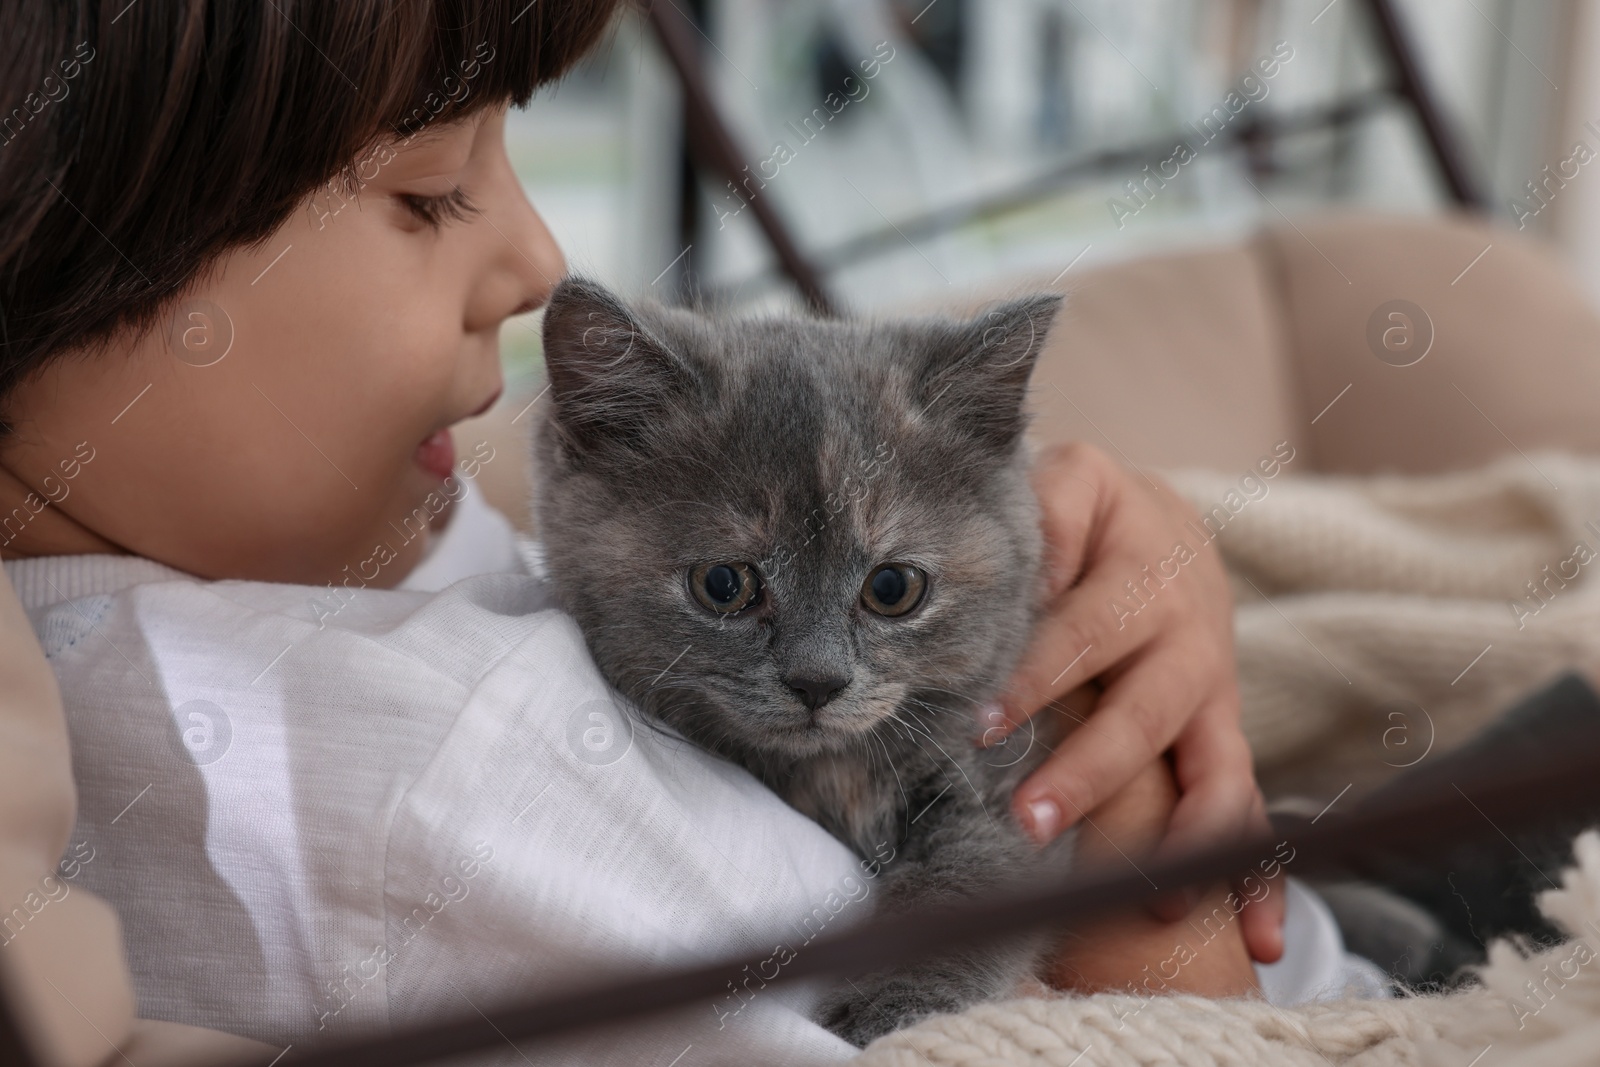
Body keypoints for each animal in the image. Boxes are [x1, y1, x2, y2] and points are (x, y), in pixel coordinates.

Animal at [531, 279, 1068, 1049]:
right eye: (723, 584)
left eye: (893, 588)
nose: (818, 680)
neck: (824, 772)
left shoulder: (1005, 773)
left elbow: (968, 876)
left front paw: (888, 1002)